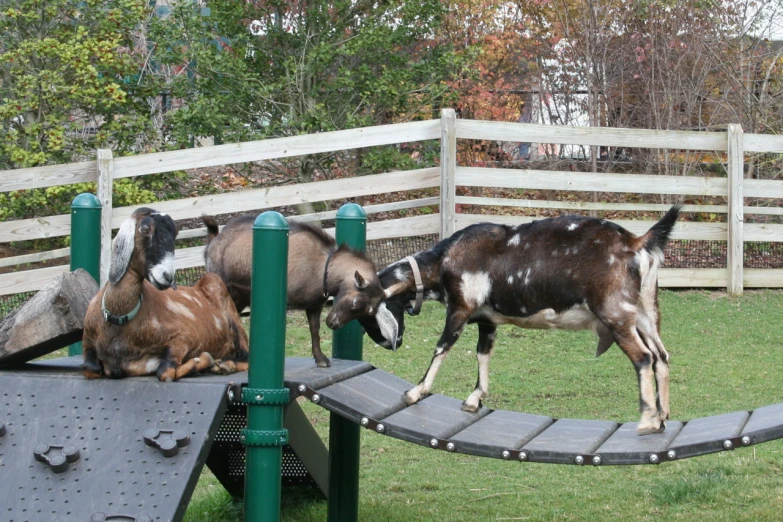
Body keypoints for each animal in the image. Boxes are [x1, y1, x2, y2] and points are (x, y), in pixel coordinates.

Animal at [82, 205, 248, 380]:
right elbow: (90, 369)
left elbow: (166, 371)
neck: (119, 320)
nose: (167, 276)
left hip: (225, 301)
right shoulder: (89, 344)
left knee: (245, 356)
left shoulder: (184, 337)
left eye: (175, 232)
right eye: (144, 229)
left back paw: (226, 365)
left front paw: (202, 361)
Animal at [201, 214, 388, 366]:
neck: (322, 267)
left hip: (240, 297)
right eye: (355, 302)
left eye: (370, 312)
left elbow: (315, 330)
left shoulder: (314, 305)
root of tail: (214, 240)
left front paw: (320, 359)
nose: (333, 324)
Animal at [364, 205, 684, 432]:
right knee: (661, 355)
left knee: (644, 357)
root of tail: (636, 242)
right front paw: (474, 398)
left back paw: (647, 421)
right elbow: (483, 354)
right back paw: (663, 415)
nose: (386, 344)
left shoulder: (460, 308)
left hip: (615, 314)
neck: (444, 259)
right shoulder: (487, 320)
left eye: (366, 311)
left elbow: (442, 347)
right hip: (645, 312)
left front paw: (415, 392)